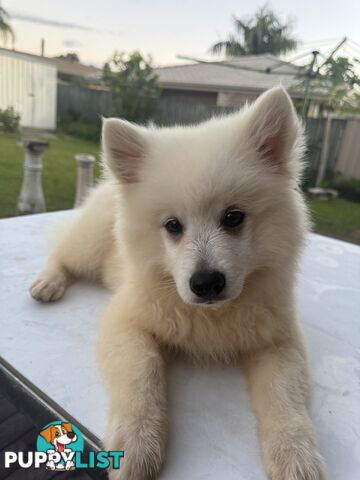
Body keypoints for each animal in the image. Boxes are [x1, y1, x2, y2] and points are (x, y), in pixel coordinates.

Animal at [31, 87, 326, 480]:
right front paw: (137, 446)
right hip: (89, 245)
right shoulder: (127, 322)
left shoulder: (279, 340)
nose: (206, 283)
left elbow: (284, 398)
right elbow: (142, 376)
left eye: (234, 217)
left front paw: (296, 457)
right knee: (61, 250)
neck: (213, 315)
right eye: (173, 226)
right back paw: (47, 282)